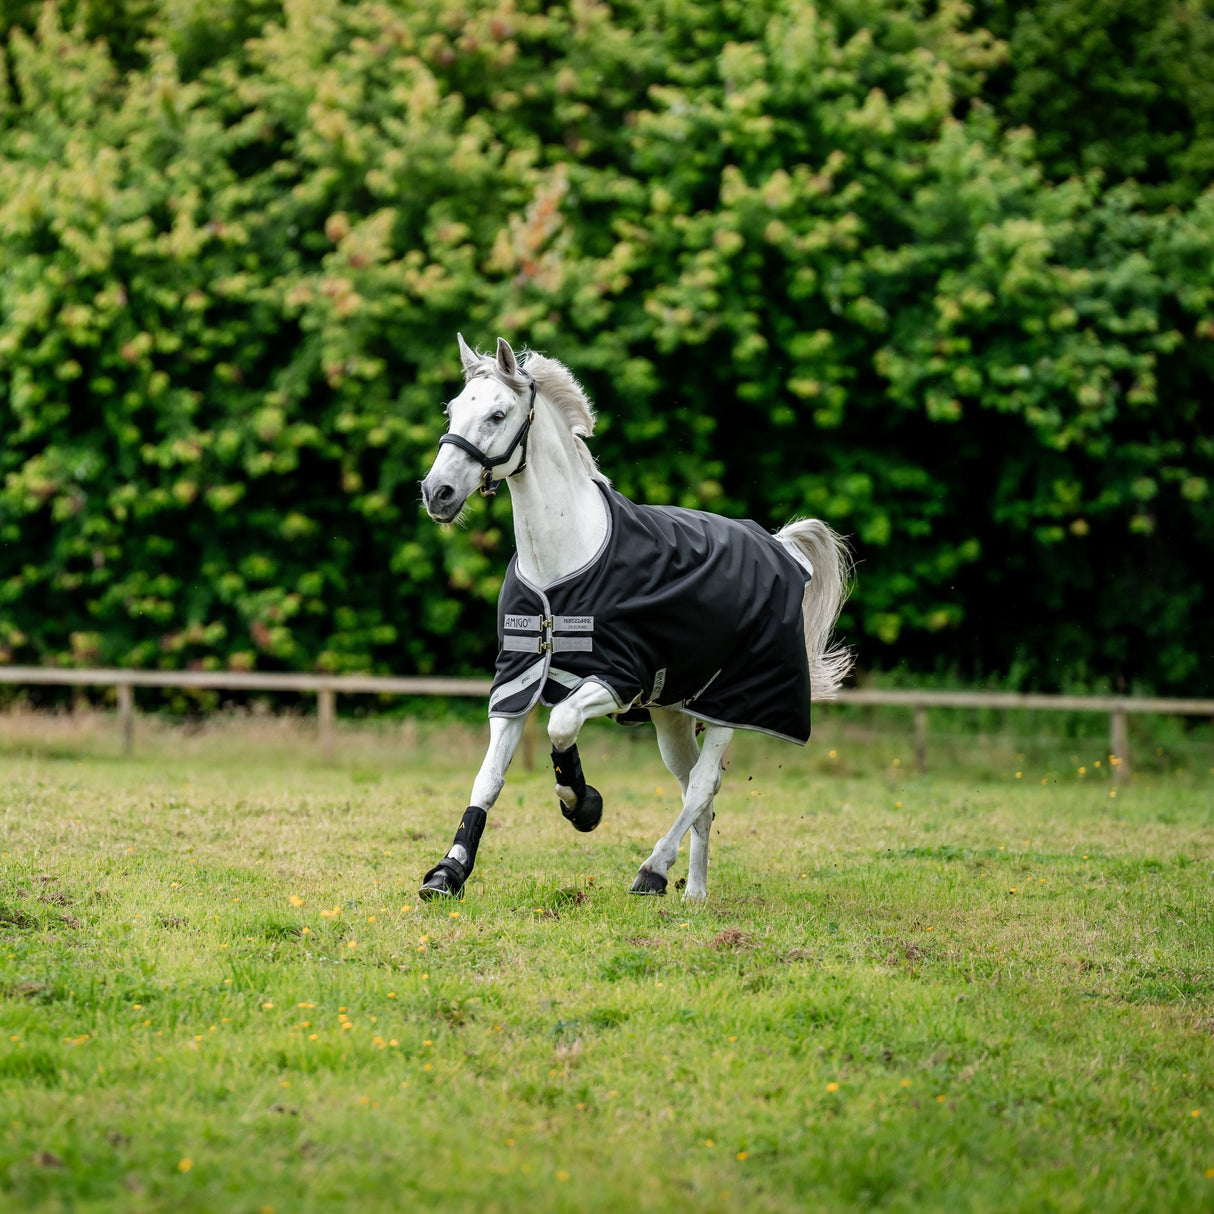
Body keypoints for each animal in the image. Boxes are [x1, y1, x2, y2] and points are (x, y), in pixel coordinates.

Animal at [417, 335, 854, 903]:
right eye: (452, 410)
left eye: (497, 414)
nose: (438, 493)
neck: (562, 563)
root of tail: (779, 546)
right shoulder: (516, 681)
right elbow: (487, 779)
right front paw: (448, 872)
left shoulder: (616, 679)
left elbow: (561, 724)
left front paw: (582, 805)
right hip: (673, 714)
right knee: (697, 792)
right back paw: (694, 893)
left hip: (731, 705)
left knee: (702, 784)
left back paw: (654, 870)